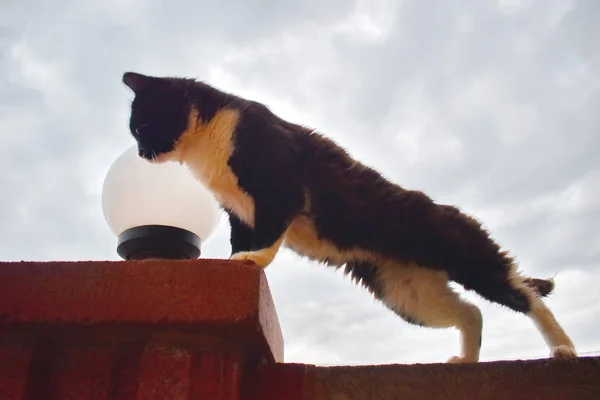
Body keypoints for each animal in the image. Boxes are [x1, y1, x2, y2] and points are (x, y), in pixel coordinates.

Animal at [120, 71, 576, 362]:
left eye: (141, 126)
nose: (140, 154)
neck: (208, 146)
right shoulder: (237, 210)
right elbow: (241, 238)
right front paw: (234, 261)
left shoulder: (278, 190)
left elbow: (266, 235)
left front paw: (252, 261)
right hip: (407, 294)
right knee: (471, 313)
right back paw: (465, 361)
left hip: (467, 257)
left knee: (526, 296)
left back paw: (563, 349)